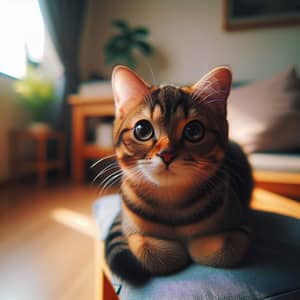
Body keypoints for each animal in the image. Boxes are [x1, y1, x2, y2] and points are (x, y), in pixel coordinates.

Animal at [103, 65, 253, 286]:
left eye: (194, 130)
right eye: (142, 129)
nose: (167, 154)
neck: (171, 201)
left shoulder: (240, 222)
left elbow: (227, 245)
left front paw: (196, 245)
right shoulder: (129, 226)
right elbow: (143, 246)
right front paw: (174, 252)